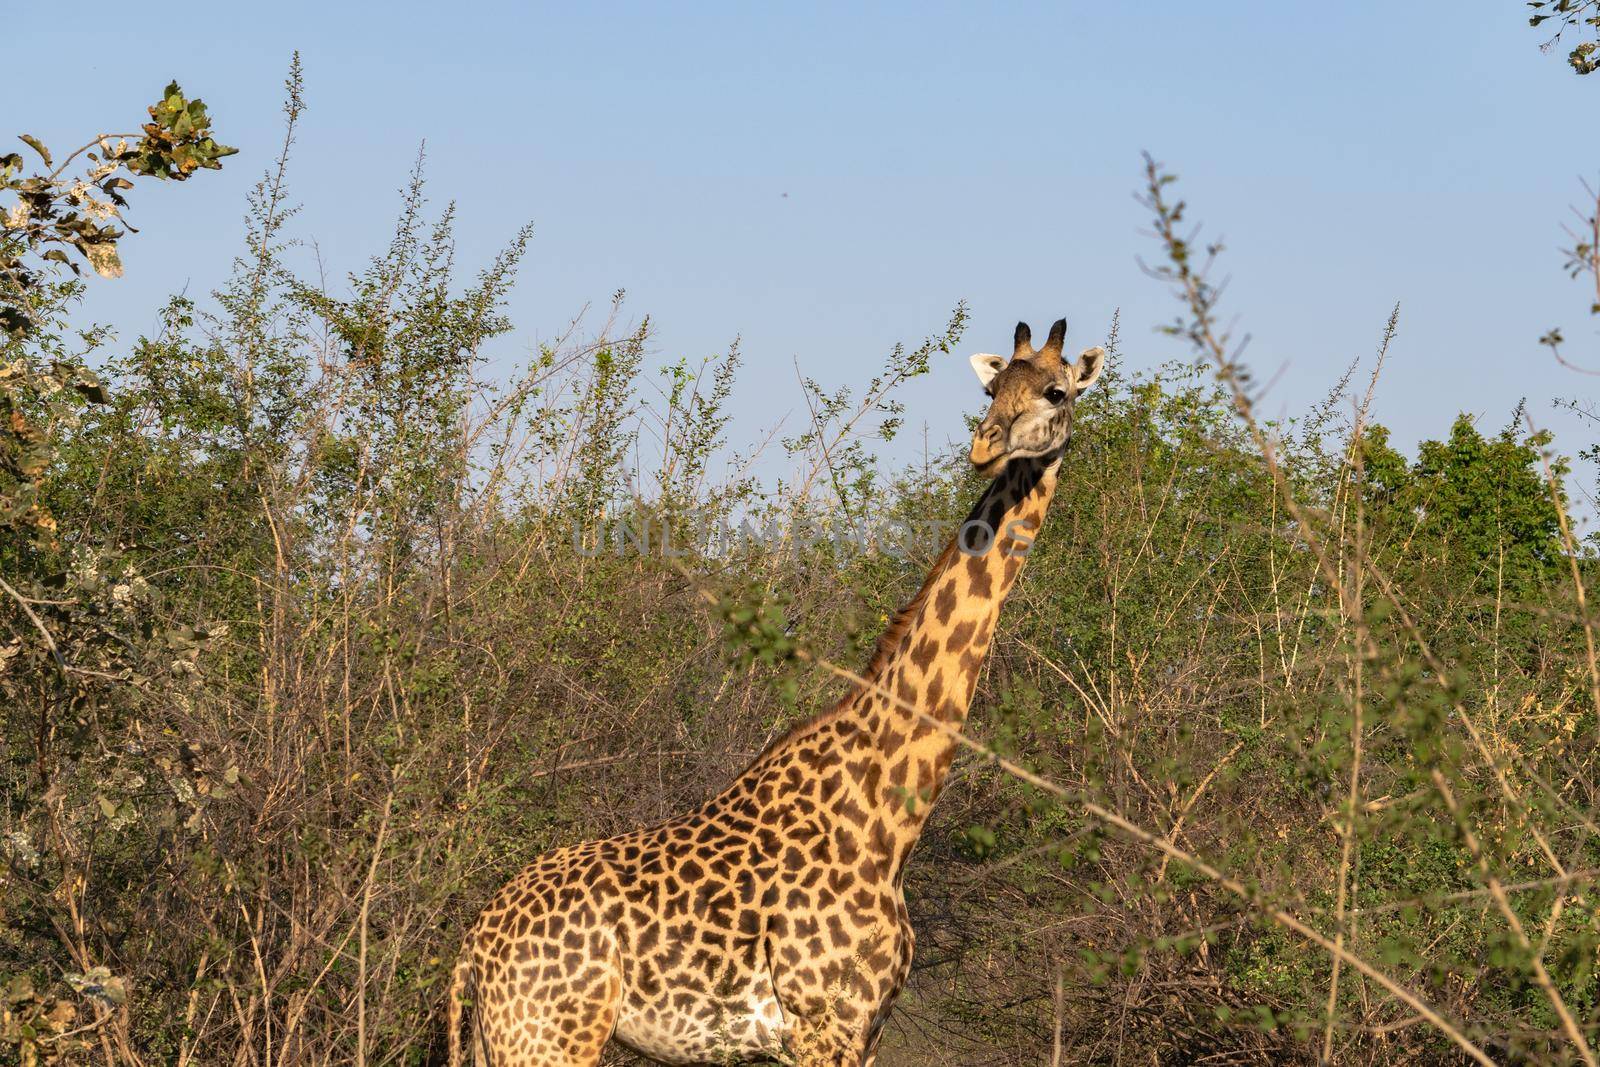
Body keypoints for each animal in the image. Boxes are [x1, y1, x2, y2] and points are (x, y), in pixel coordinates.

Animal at [444, 319, 1107, 1067]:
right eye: (991, 392)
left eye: (1055, 391)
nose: (986, 445)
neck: (889, 812)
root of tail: (473, 949)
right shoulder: (825, 1023)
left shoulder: (867, 1030)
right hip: (550, 1036)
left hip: (500, 1039)